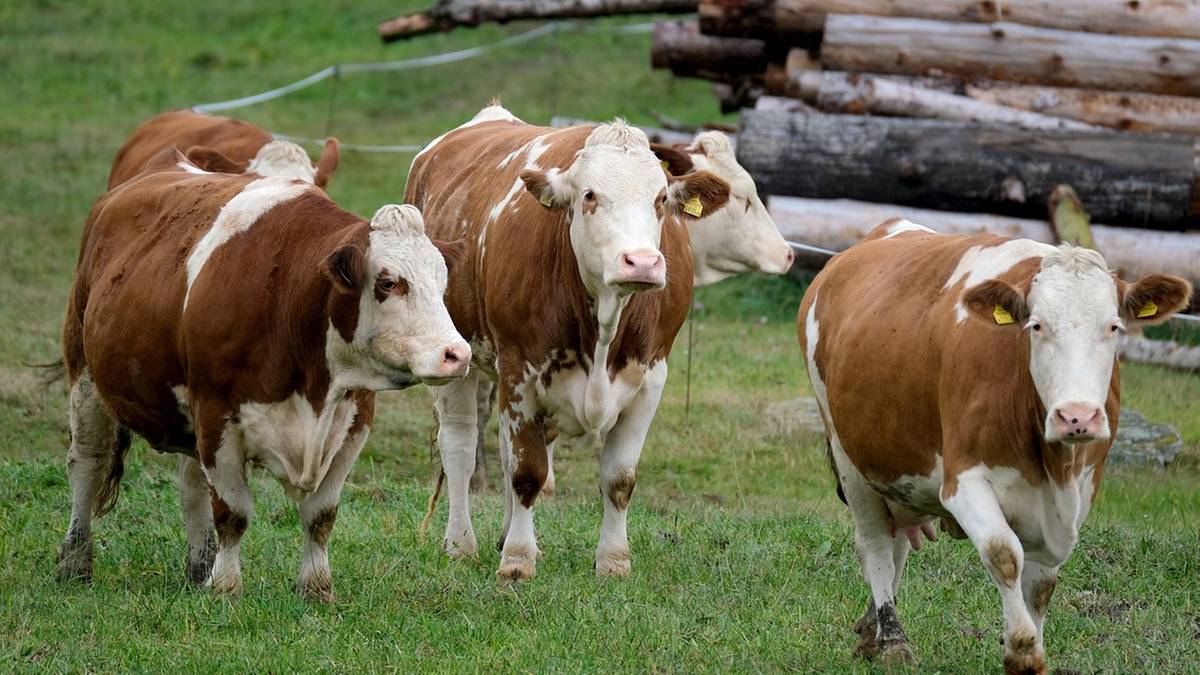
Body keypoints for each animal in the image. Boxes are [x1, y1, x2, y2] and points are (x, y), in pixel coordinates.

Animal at [59, 149, 468, 595]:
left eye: (443, 282)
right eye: (388, 282)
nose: (456, 353)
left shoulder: (354, 421)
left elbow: (321, 514)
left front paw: (316, 586)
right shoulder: (215, 415)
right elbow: (233, 512)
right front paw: (226, 587)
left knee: (191, 484)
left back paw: (199, 567)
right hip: (86, 377)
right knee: (88, 463)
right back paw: (75, 562)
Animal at [405, 106, 729, 578]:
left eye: (660, 200)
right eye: (590, 195)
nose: (642, 263)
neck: (604, 324)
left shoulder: (652, 377)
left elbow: (619, 478)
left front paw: (613, 560)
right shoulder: (519, 370)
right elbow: (527, 472)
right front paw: (517, 561)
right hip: (456, 358)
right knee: (461, 446)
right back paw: (461, 544)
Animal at [796, 219, 1190, 667]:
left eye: (1113, 327)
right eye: (1036, 325)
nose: (1076, 417)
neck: (1052, 467)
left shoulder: (1079, 492)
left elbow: (1041, 585)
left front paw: (1034, 648)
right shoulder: (963, 482)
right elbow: (1004, 554)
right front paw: (1022, 648)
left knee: (897, 548)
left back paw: (870, 632)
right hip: (849, 457)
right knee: (877, 547)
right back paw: (893, 640)